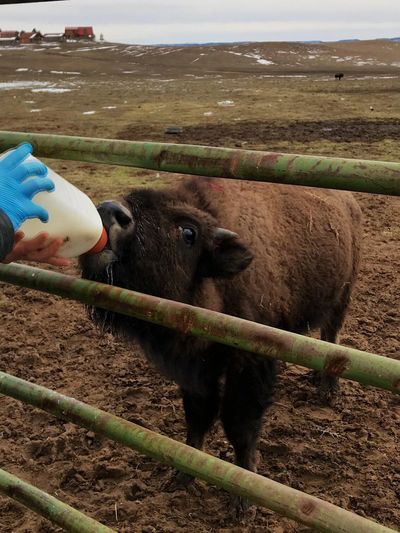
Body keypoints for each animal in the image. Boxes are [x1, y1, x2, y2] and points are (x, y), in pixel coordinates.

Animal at [79, 177, 360, 504]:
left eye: (189, 232)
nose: (109, 211)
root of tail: (349, 203)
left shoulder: (250, 366)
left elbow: (240, 425)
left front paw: (245, 497)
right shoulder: (196, 369)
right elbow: (198, 416)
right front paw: (183, 475)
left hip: (342, 296)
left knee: (331, 336)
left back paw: (327, 390)